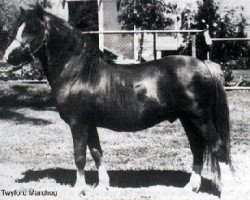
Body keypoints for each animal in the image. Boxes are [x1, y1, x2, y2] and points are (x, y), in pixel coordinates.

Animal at [3, 4, 233, 197]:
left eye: (33, 29)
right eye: (17, 27)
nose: (8, 57)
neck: (78, 71)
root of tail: (204, 64)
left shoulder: (78, 123)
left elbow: (79, 156)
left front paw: (80, 189)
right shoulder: (90, 124)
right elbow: (96, 152)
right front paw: (102, 185)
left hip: (200, 119)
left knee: (218, 148)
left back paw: (227, 191)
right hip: (188, 120)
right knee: (197, 149)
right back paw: (190, 188)